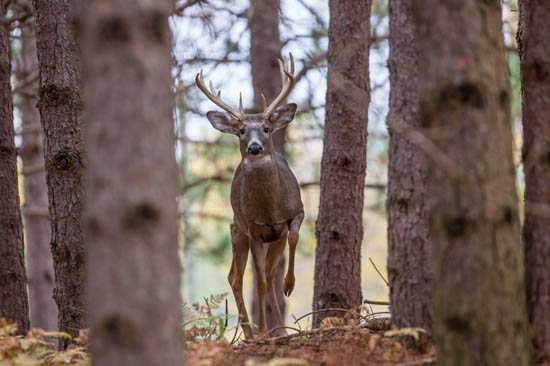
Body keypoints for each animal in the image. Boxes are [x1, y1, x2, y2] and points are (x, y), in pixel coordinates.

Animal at [195, 53, 306, 338]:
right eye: (242, 130)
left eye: (266, 128)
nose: (255, 148)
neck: (270, 210)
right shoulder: (254, 228)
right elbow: (260, 282)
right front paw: (265, 331)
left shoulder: (295, 213)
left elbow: (294, 238)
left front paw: (290, 285)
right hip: (237, 228)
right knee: (238, 276)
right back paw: (251, 333)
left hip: (269, 238)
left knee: (265, 271)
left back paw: (280, 330)